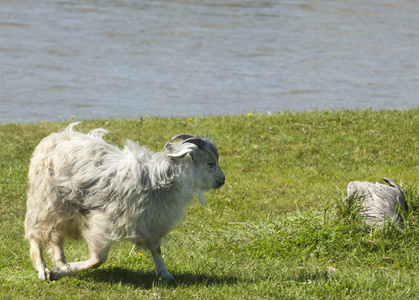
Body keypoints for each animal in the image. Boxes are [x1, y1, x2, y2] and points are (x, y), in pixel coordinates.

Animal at [24, 122, 225, 282]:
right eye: (211, 163)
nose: (222, 180)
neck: (158, 180)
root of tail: (51, 138)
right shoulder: (104, 223)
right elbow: (98, 260)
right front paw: (58, 273)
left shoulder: (152, 223)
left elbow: (157, 250)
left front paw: (165, 275)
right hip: (44, 202)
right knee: (36, 235)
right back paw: (43, 270)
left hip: (60, 209)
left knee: (55, 238)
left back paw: (60, 262)